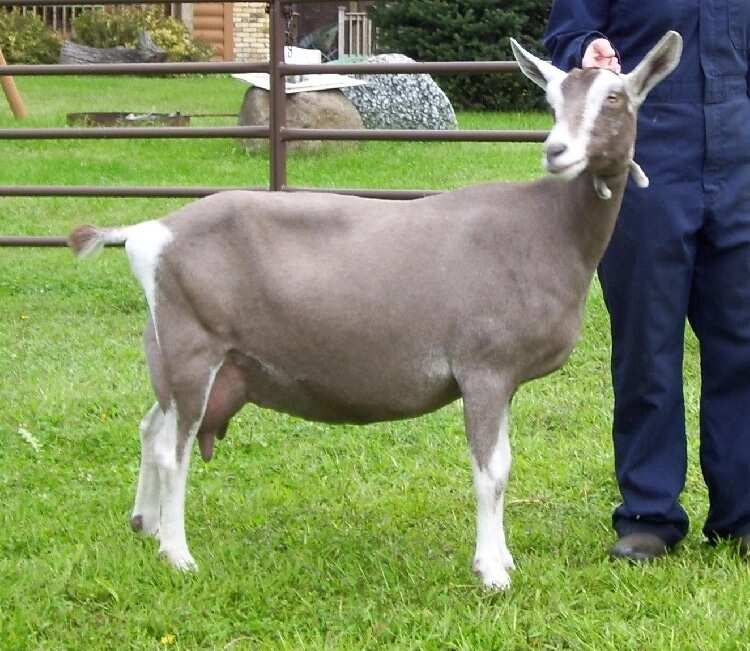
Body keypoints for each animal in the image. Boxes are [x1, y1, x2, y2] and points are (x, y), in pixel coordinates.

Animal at [67, 31, 684, 592]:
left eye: (615, 98)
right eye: (552, 102)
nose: (556, 151)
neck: (548, 226)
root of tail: (148, 232)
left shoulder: (504, 379)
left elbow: (503, 465)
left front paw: (503, 561)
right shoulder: (483, 368)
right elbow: (492, 471)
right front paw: (491, 573)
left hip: (172, 354)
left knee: (152, 427)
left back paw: (146, 526)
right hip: (193, 346)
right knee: (173, 450)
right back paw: (179, 556)